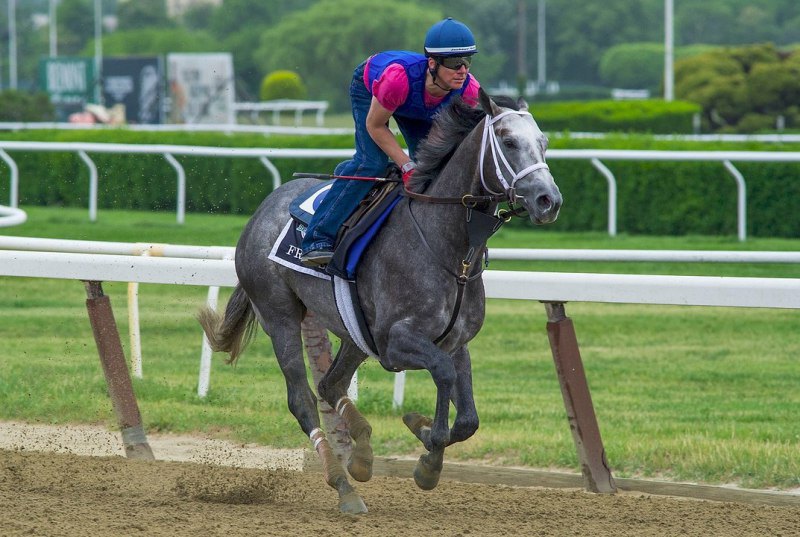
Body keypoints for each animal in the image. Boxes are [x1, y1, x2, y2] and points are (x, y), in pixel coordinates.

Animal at [199, 90, 564, 512]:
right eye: (508, 141)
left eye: (544, 142)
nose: (548, 200)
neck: (446, 246)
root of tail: (259, 212)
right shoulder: (395, 342)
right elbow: (442, 374)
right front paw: (427, 448)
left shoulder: (456, 340)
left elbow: (468, 419)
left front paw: (422, 438)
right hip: (280, 315)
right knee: (303, 399)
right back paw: (343, 486)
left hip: (352, 332)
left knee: (330, 385)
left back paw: (361, 456)